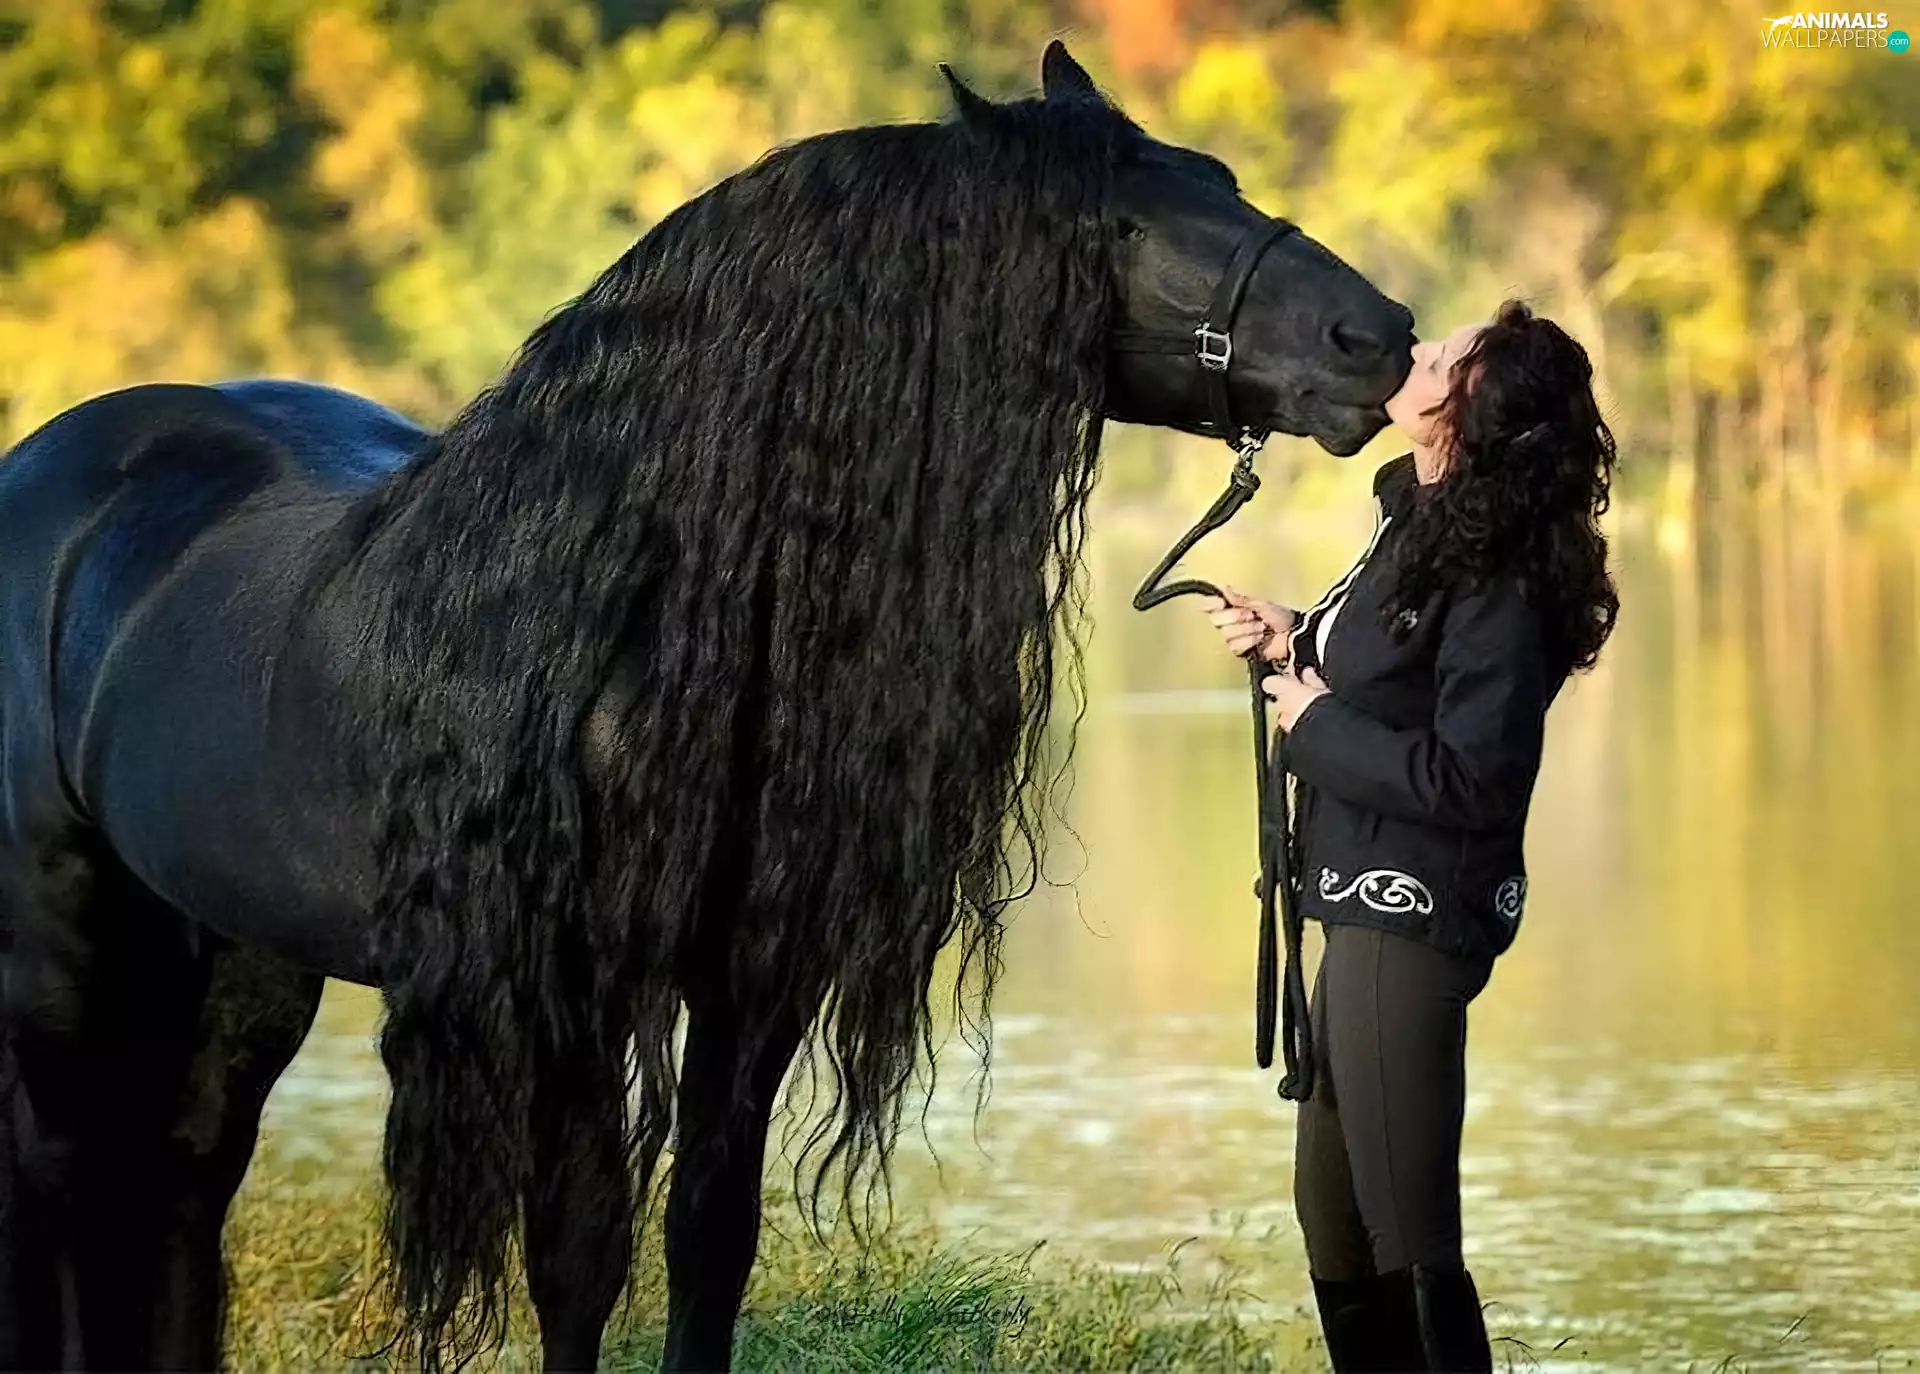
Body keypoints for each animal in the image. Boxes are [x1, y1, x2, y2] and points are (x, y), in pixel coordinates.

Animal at [0, 41, 1413, 1372]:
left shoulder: (754, 972)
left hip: (236, 955)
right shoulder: (571, 984)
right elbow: (579, 1248)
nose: (1380, 338)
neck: (634, 603)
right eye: (1121, 223)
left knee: (186, 1182)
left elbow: (709, 1233)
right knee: (69, 1183)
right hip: (64, 947)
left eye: (1221, 180)